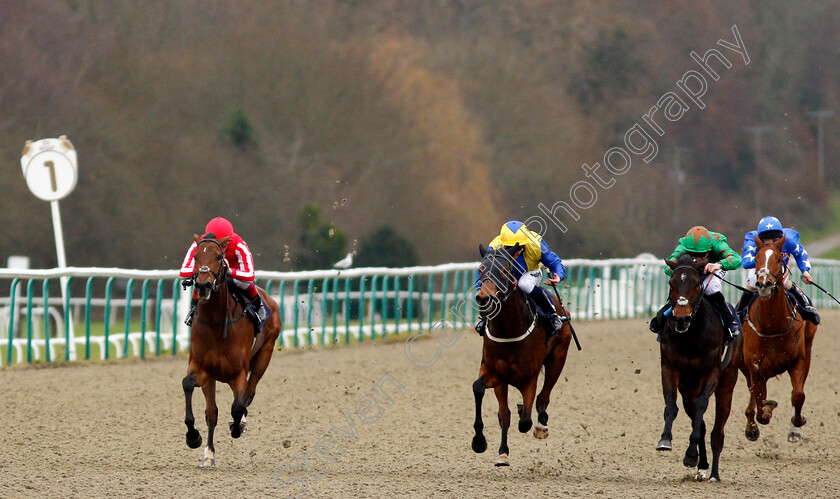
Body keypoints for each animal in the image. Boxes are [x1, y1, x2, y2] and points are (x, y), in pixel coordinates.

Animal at [181, 234, 282, 468]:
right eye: (195, 256)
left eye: (220, 257)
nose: (203, 286)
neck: (217, 323)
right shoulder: (203, 369)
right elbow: (196, 394)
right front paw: (196, 440)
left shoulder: (238, 373)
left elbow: (237, 405)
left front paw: (236, 427)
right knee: (215, 409)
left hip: (265, 353)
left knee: (249, 393)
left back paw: (241, 423)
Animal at [470, 244, 576, 466]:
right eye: (481, 270)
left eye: (504, 271)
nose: (484, 299)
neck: (509, 330)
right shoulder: (496, 374)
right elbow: (486, 396)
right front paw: (481, 443)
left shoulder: (529, 377)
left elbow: (525, 420)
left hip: (558, 359)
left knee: (543, 398)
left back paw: (541, 425)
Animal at [656, 256, 740, 482]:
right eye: (671, 283)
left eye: (695, 284)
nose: (681, 318)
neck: (691, 337)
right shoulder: (670, 369)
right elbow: (670, 406)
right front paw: (666, 441)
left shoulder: (712, 372)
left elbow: (702, 405)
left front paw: (691, 454)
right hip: (688, 389)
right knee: (699, 423)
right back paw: (700, 464)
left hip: (726, 385)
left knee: (717, 431)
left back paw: (714, 474)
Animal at [740, 234, 812, 442]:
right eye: (756, 258)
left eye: (779, 259)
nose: (764, 284)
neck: (772, 326)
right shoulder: (755, 368)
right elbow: (760, 404)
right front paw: (764, 412)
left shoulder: (797, 360)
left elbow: (798, 395)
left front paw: (797, 424)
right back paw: (752, 426)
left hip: (808, 350)